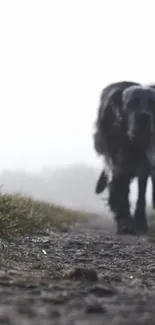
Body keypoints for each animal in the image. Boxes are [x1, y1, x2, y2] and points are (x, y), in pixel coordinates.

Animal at [93, 80, 155, 233]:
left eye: (153, 103)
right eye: (132, 103)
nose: (144, 117)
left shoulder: (145, 164)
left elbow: (141, 193)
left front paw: (140, 222)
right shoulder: (117, 164)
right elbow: (120, 188)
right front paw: (125, 221)